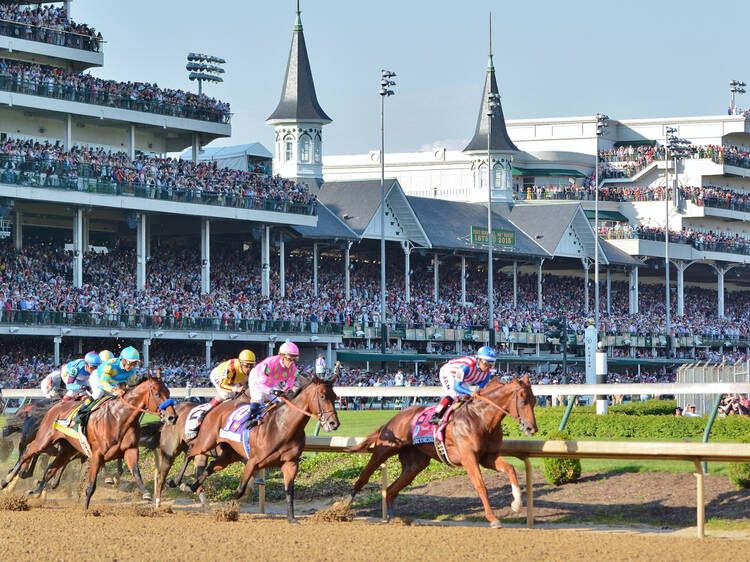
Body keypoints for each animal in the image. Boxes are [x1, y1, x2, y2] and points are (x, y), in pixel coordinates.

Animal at [0, 372, 177, 508]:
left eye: (168, 393)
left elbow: (135, 471)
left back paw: (34, 490)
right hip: (43, 440)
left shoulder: (129, 450)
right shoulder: (96, 454)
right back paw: (7, 481)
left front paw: (146, 494)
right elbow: (90, 485)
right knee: (27, 453)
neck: (118, 418)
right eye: (156, 394)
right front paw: (85, 509)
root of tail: (53, 408)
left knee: (49, 468)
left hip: (66, 449)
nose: (172, 417)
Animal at [178, 374, 340, 524]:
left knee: (210, 466)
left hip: (229, 455)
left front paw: (292, 518)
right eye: (322, 396)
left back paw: (191, 486)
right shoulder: (252, 461)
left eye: (335, 396)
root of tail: (215, 408)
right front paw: (229, 512)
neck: (282, 427)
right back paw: (177, 481)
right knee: (190, 452)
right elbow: (239, 490)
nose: (334, 423)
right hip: (207, 443)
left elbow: (289, 491)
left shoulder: (291, 464)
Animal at [344, 376, 536, 524]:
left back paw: (393, 518)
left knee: (391, 490)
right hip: (384, 450)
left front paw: (516, 503)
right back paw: (344, 505)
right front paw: (493, 518)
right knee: (364, 476)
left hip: (415, 464)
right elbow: (481, 486)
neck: (480, 418)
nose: (532, 428)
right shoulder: (469, 458)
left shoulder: (488, 457)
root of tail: (393, 419)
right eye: (522, 401)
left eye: (534, 401)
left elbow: (510, 469)